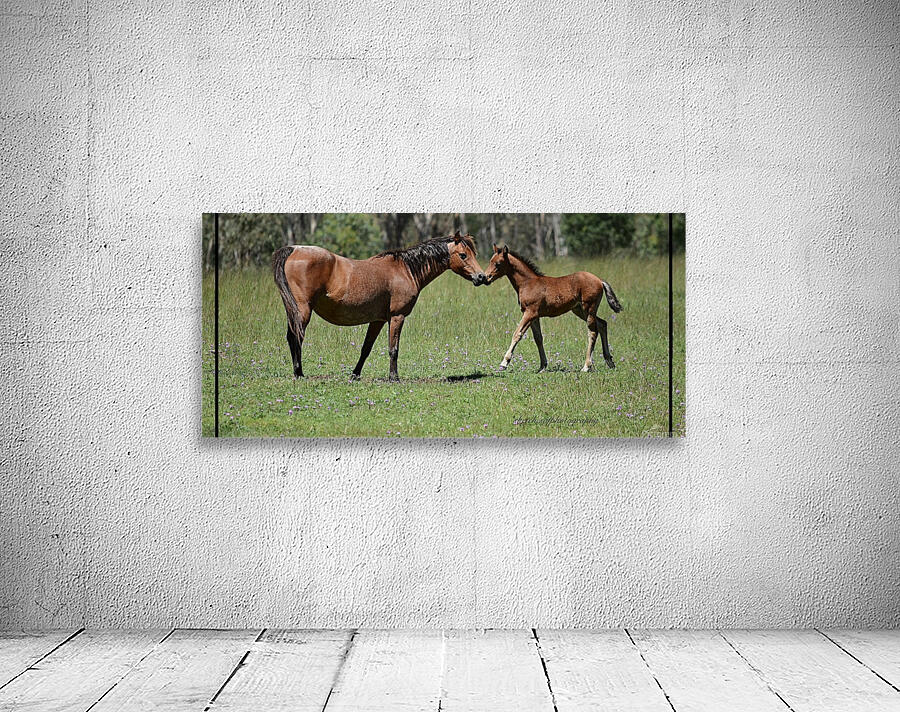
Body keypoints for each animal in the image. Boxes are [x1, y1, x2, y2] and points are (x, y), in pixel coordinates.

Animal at [272, 232, 487, 381]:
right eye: (463, 255)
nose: (481, 277)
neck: (404, 270)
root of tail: (293, 249)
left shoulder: (377, 320)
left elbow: (366, 349)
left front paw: (355, 375)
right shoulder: (397, 316)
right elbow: (394, 349)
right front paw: (394, 377)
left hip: (293, 310)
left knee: (292, 337)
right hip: (303, 310)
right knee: (296, 338)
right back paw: (299, 373)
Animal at [483, 244, 622, 372]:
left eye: (498, 263)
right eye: (490, 261)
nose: (485, 278)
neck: (527, 283)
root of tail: (599, 280)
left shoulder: (529, 313)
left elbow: (517, 334)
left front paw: (504, 363)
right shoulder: (534, 316)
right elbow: (538, 338)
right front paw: (542, 366)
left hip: (589, 309)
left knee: (593, 332)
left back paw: (586, 366)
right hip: (579, 310)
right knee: (602, 324)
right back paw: (609, 361)